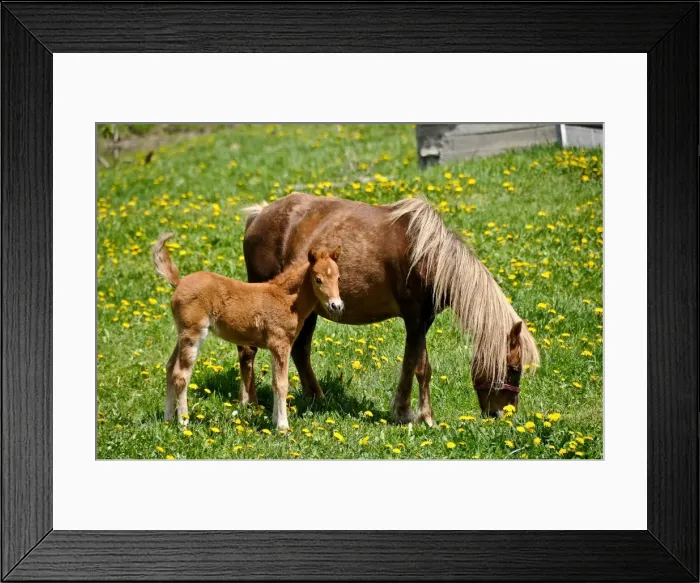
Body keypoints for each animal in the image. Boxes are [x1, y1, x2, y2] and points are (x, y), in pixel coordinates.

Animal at [151, 232, 343, 430]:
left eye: (338, 278)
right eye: (318, 279)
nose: (336, 305)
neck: (287, 299)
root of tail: (179, 282)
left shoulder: (275, 347)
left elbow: (275, 382)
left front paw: (274, 421)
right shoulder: (280, 344)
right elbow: (282, 384)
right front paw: (283, 426)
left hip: (182, 334)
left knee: (169, 367)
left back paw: (168, 419)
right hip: (193, 334)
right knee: (181, 375)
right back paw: (183, 422)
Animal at [239, 192, 539, 424]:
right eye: (514, 368)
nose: (502, 414)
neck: (429, 256)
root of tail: (259, 215)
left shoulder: (423, 320)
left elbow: (422, 367)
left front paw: (425, 416)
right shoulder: (414, 319)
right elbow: (413, 366)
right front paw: (406, 413)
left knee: (300, 351)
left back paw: (317, 398)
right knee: (249, 350)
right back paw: (249, 401)